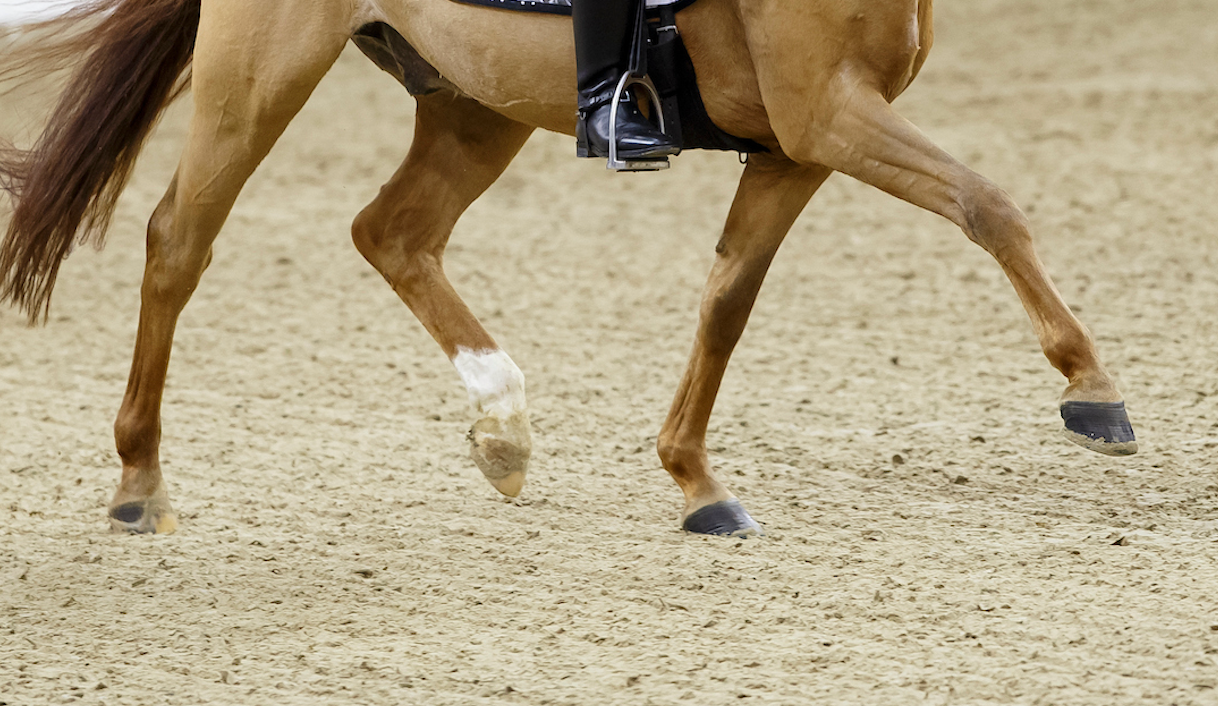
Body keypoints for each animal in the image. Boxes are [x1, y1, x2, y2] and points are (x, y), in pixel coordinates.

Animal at [0, 0, 1137, 536]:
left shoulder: (795, 147)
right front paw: (1092, 392)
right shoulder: (828, 113)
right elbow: (989, 203)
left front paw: (695, 481)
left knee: (391, 231)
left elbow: (727, 302)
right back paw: (139, 483)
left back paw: (502, 423)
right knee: (177, 242)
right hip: (261, 75)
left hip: (475, 98)